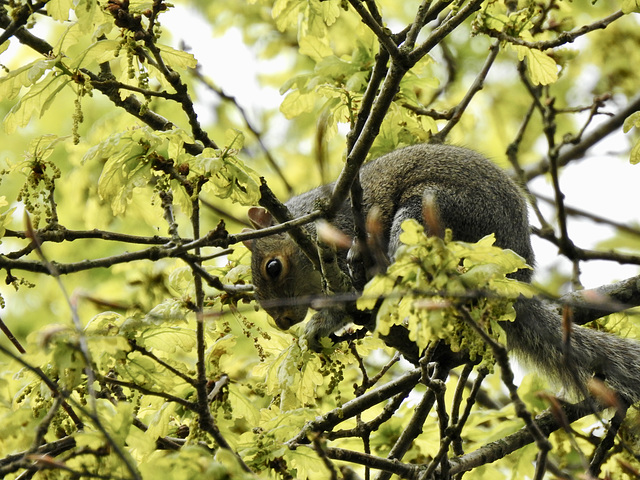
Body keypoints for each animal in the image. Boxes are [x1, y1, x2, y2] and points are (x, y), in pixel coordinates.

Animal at [242, 143, 640, 404]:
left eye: (273, 267)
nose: (281, 321)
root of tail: (514, 279)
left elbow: (345, 301)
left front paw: (316, 325)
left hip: (432, 209)